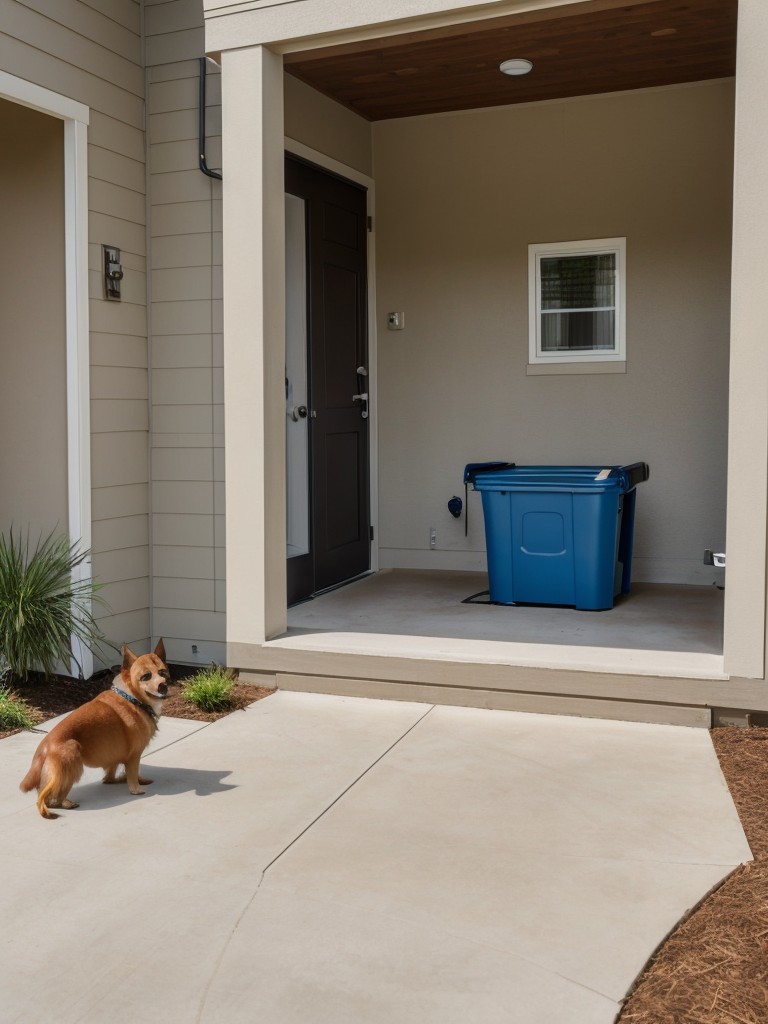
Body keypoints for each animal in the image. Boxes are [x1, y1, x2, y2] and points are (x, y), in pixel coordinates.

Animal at [20, 634, 169, 819]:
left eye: (163, 672)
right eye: (146, 676)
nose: (163, 686)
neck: (133, 697)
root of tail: (44, 747)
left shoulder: (117, 755)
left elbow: (112, 773)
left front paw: (121, 779)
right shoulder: (134, 755)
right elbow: (133, 774)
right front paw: (136, 788)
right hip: (73, 757)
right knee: (49, 797)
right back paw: (65, 803)